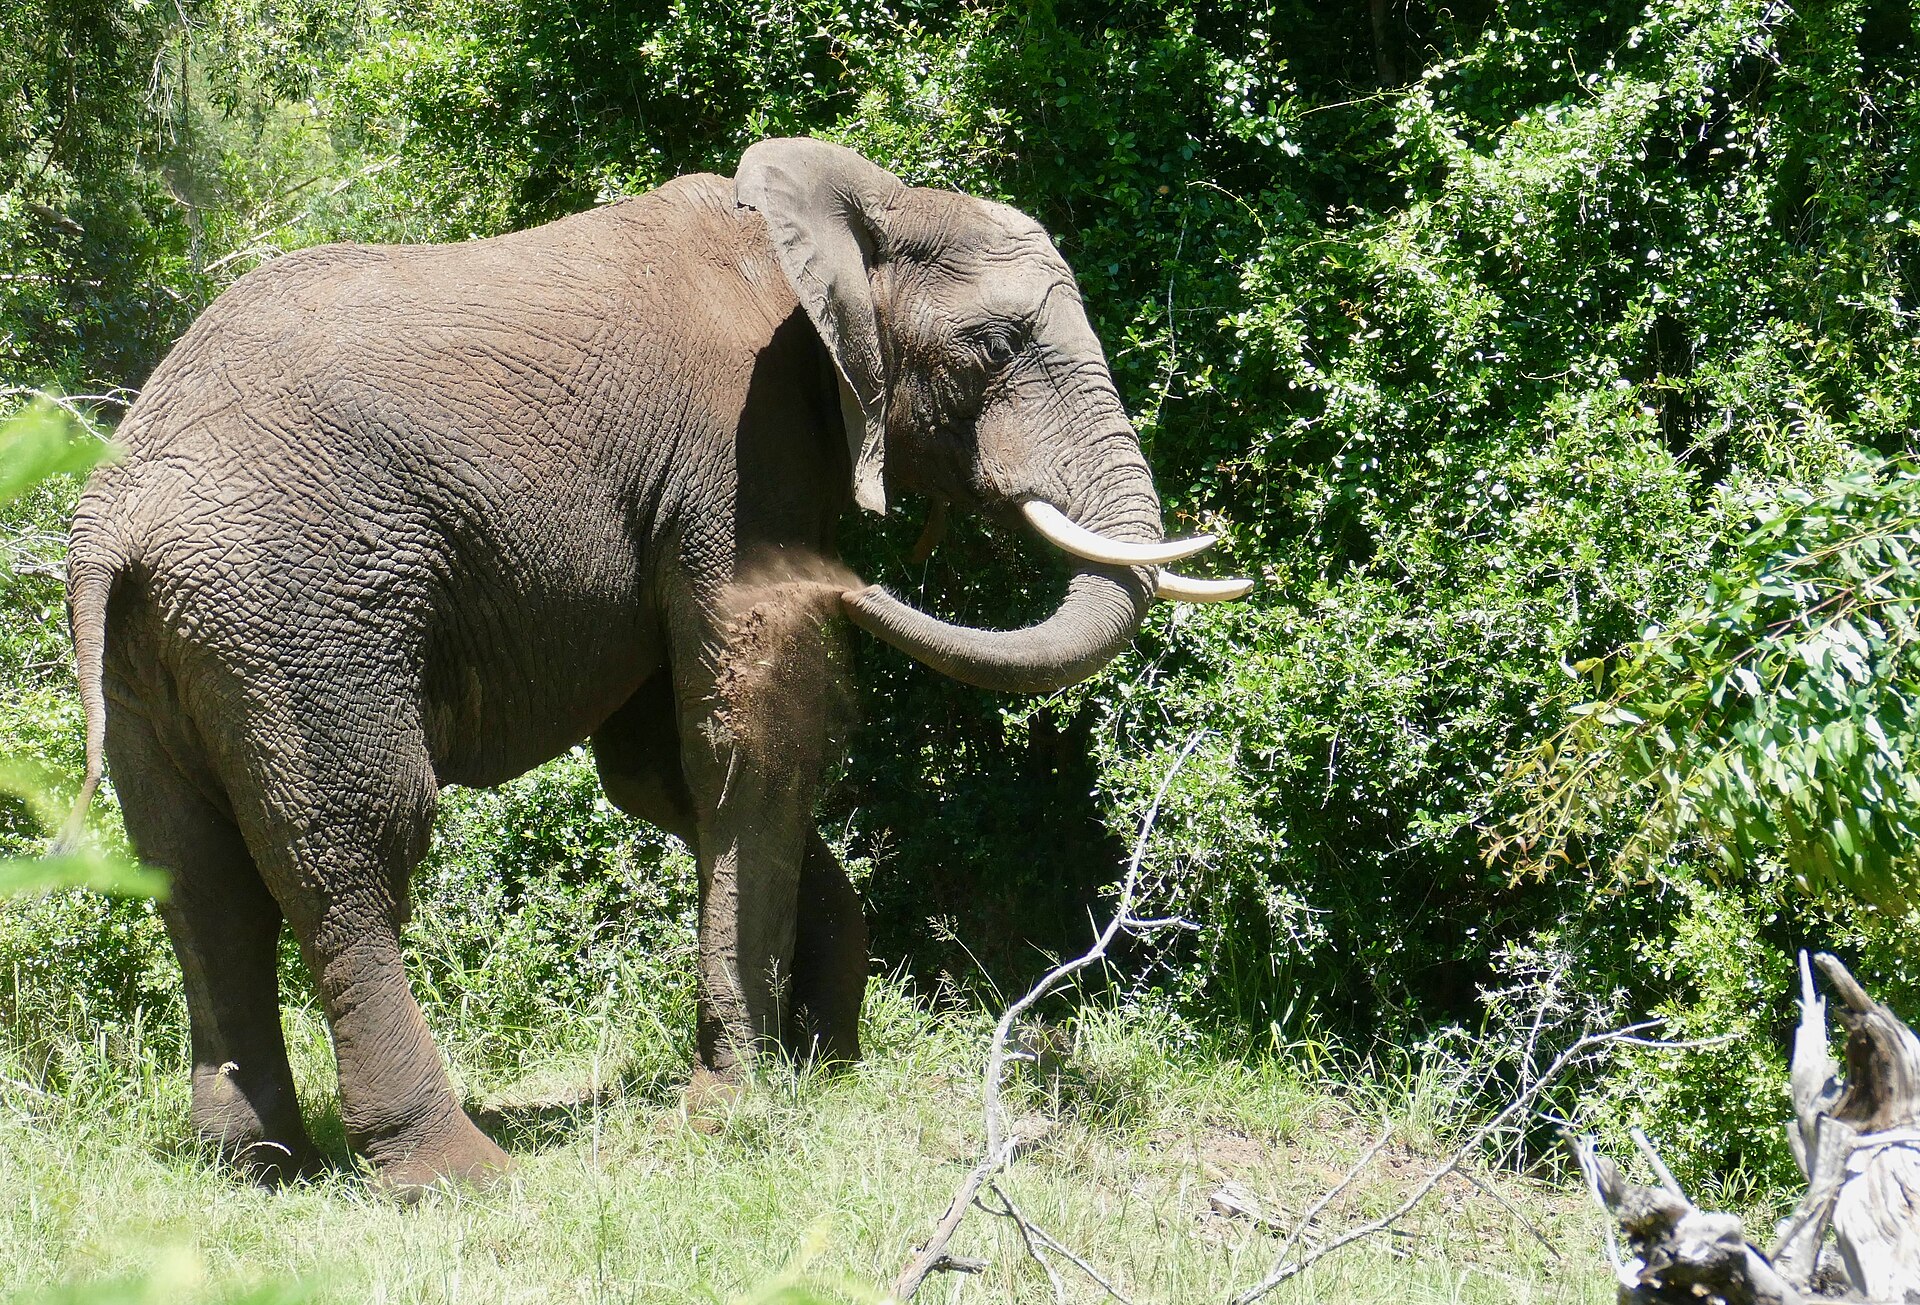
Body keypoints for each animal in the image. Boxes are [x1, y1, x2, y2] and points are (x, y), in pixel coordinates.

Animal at [59, 138, 1250, 1191]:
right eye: (997, 345)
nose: (845, 584)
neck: (860, 207)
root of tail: (115, 516)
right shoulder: (738, 454)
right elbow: (748, 734)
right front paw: (739, 1101)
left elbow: (661, 772)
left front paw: (823, 1061)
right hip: (299, 610)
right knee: (353, 850)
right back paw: (452, 1176)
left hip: (164, 647)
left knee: (196, 879)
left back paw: (256, 1168)